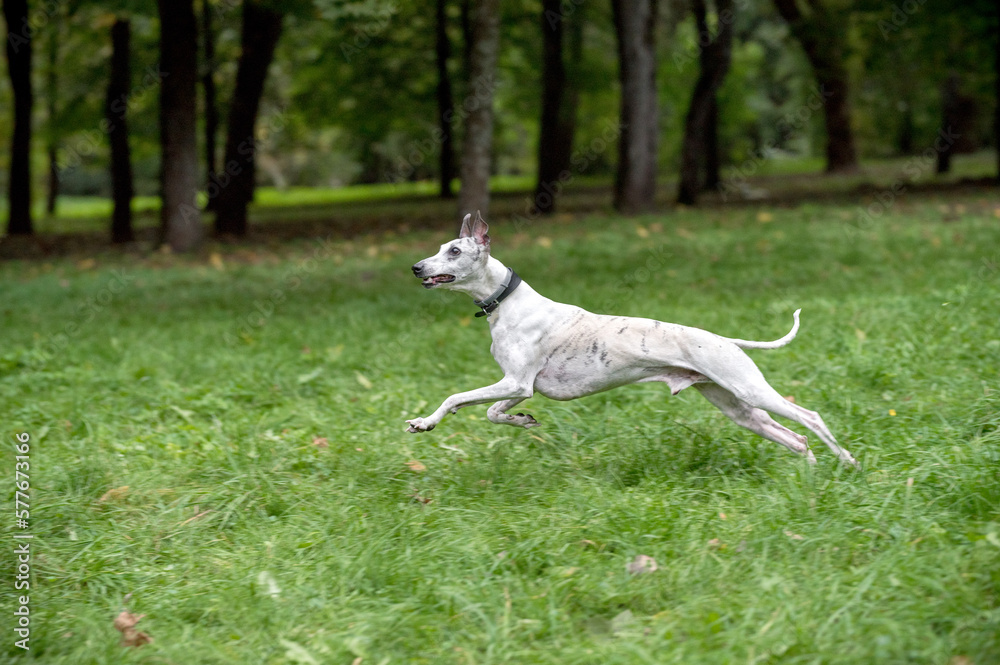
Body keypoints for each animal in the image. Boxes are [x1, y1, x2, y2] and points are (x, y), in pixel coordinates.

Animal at [406, 213, 860, 466]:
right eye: (441, 247)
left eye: (453, 251)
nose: (415, 267)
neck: (507, 300)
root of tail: (723, 339)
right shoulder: (519, 387)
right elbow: (492, 412)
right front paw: (522, 421)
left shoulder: (516, 382)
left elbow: (456, 398)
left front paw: (424, 422)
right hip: (737, 407)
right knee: (795, 438)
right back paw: (812, 473)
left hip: (749, 389)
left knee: (810, 419)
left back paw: (848, 462)